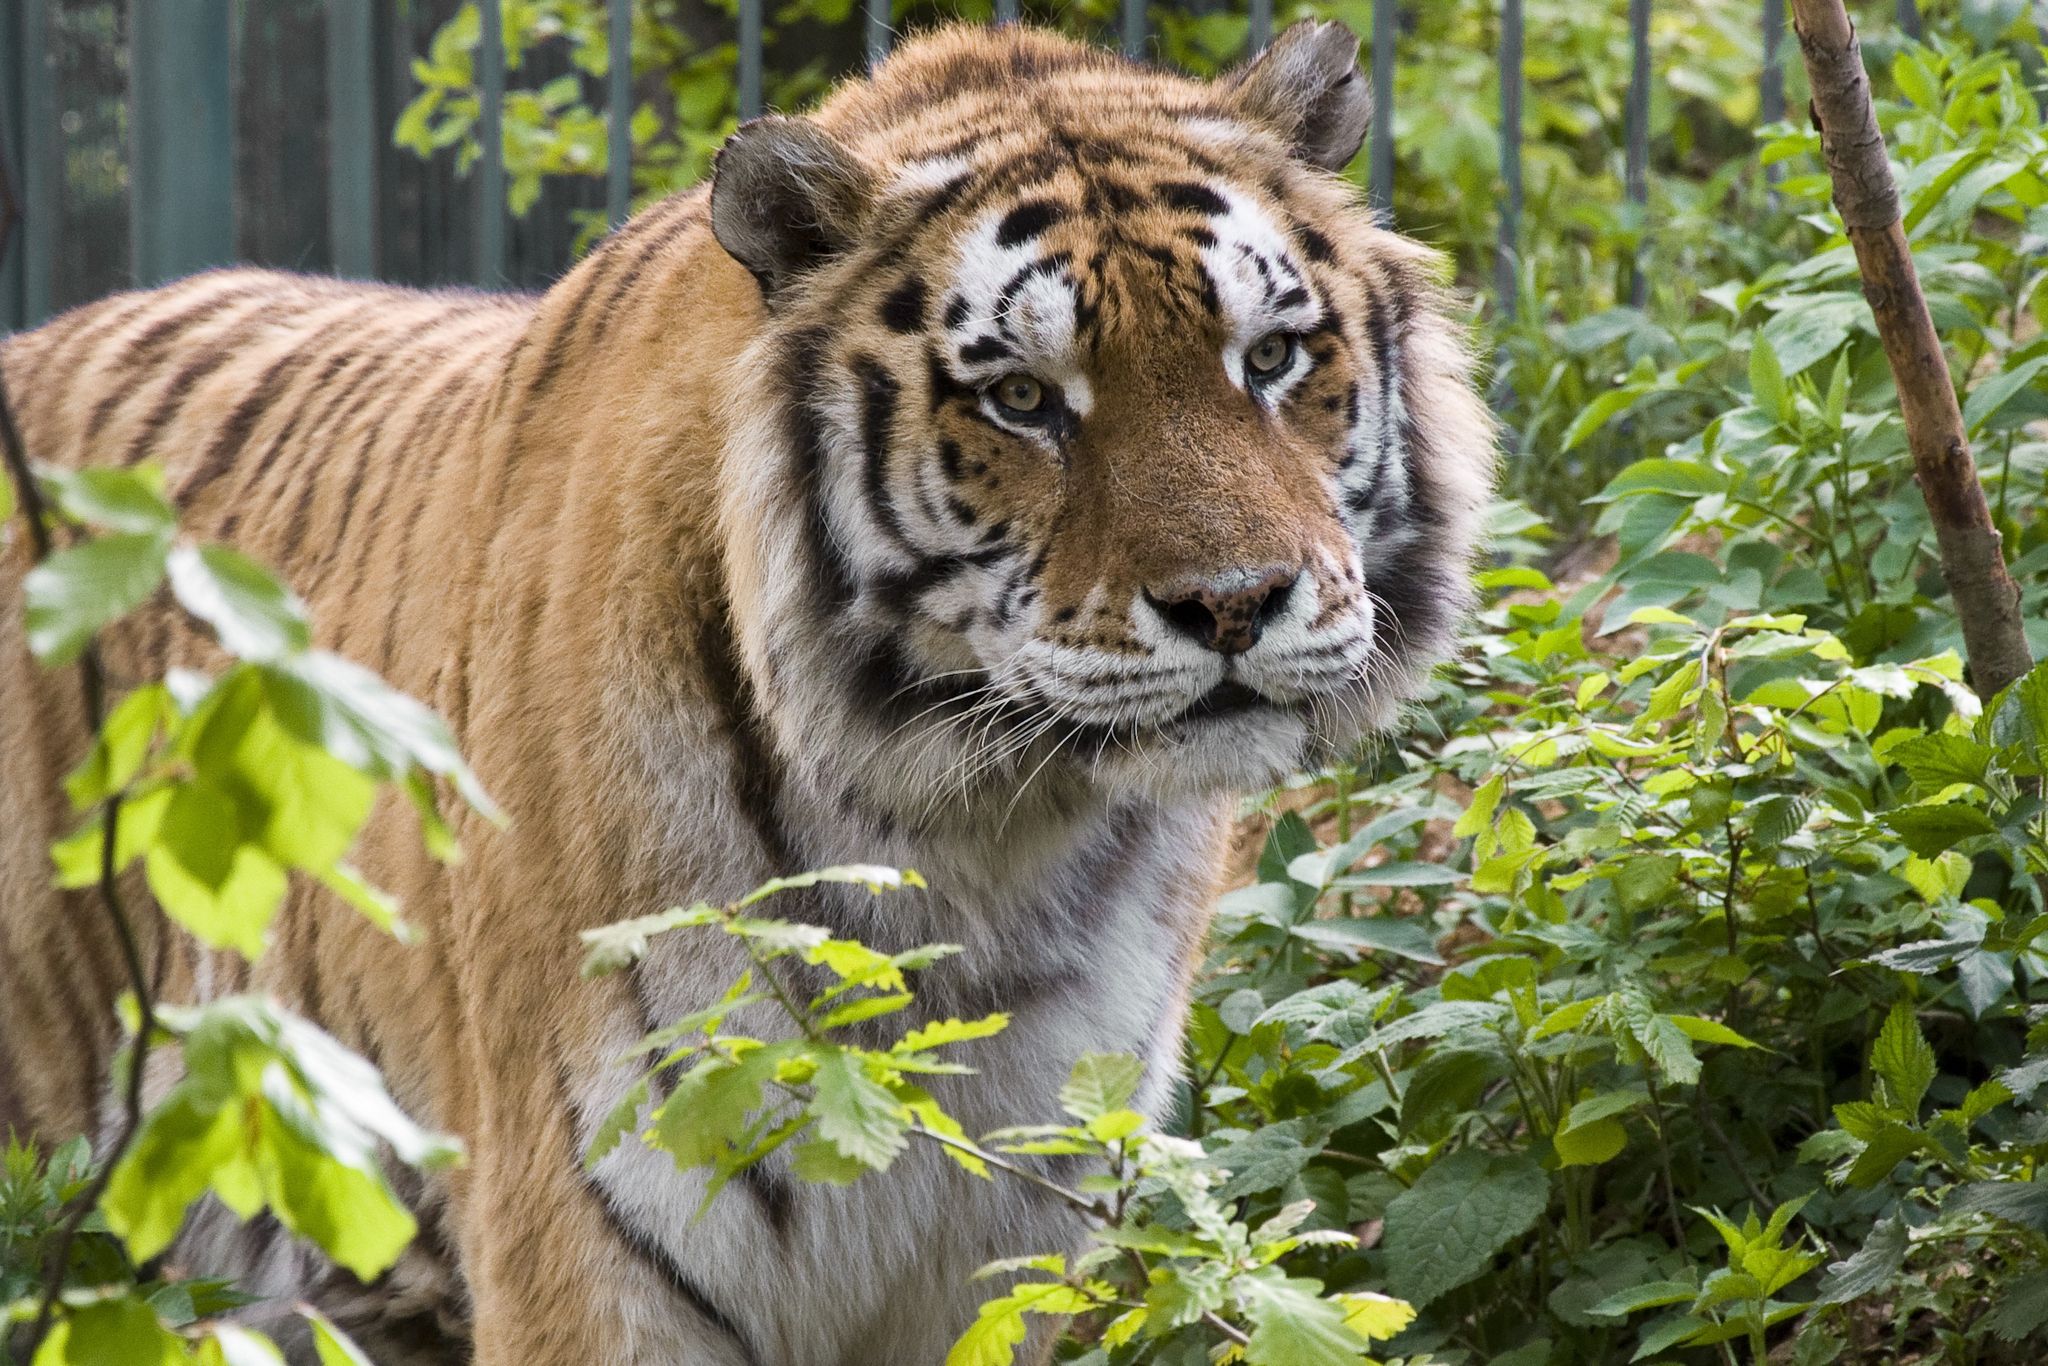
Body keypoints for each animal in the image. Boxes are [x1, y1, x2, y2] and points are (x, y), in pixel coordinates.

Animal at [0, 18, 1494, 1365]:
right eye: (1021, 400)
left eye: (1272, 358)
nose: (1236, 603)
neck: (976, 839)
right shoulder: (592, 1250)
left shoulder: (1004, 1253)